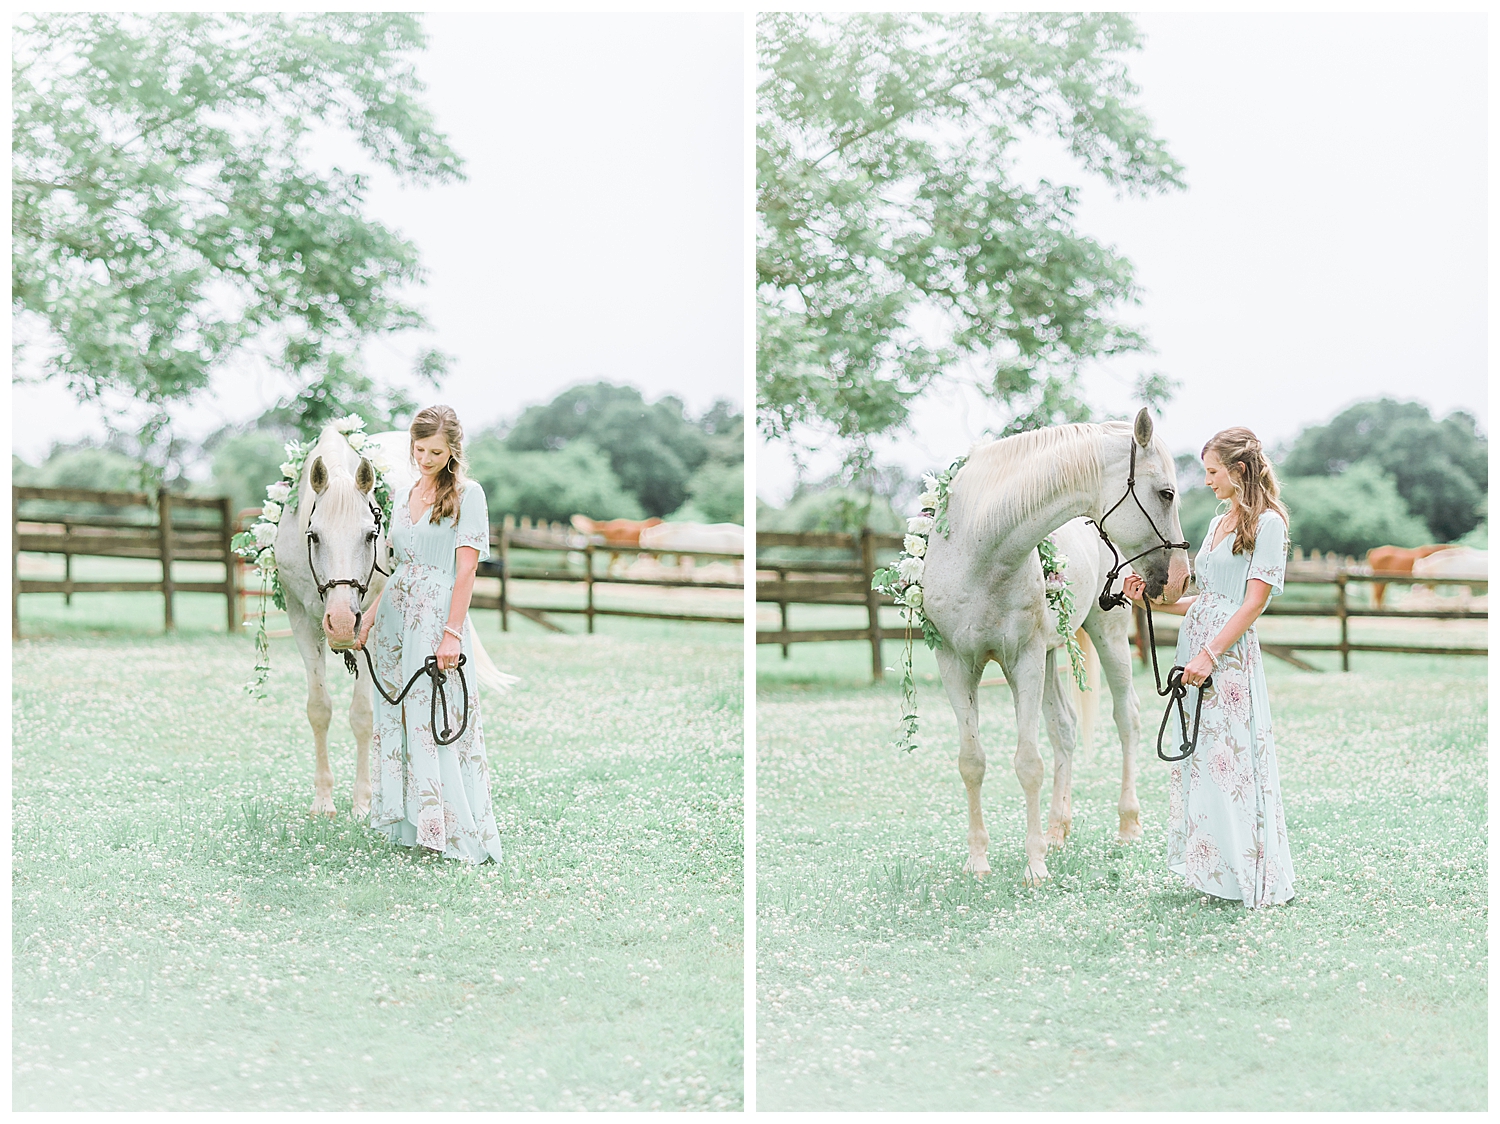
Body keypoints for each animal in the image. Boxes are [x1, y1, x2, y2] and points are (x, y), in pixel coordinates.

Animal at [922, 410, 1190, 884]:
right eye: (1167, 492)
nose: (1181, 578)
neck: (977, 547)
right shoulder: (954, 664)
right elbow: (972, 762)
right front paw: (978, 861)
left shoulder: (1023, 661)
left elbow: (1029, 764)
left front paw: (1034, 866)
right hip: (1050, 656)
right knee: (1063, 728)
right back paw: (1056, 830)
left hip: (1106, 639)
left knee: (1127, 718)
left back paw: (1126, 824)